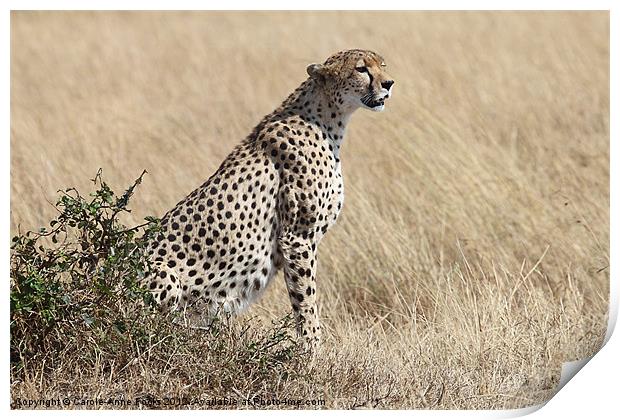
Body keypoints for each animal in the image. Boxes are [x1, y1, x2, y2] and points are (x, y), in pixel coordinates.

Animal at [145, 47, 394, 346]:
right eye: (361, 69)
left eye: (382, 65)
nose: (389, 84)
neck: (327, 118)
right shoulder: (297, 237)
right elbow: (306, 301)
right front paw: (312, 350)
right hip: (164, 273)